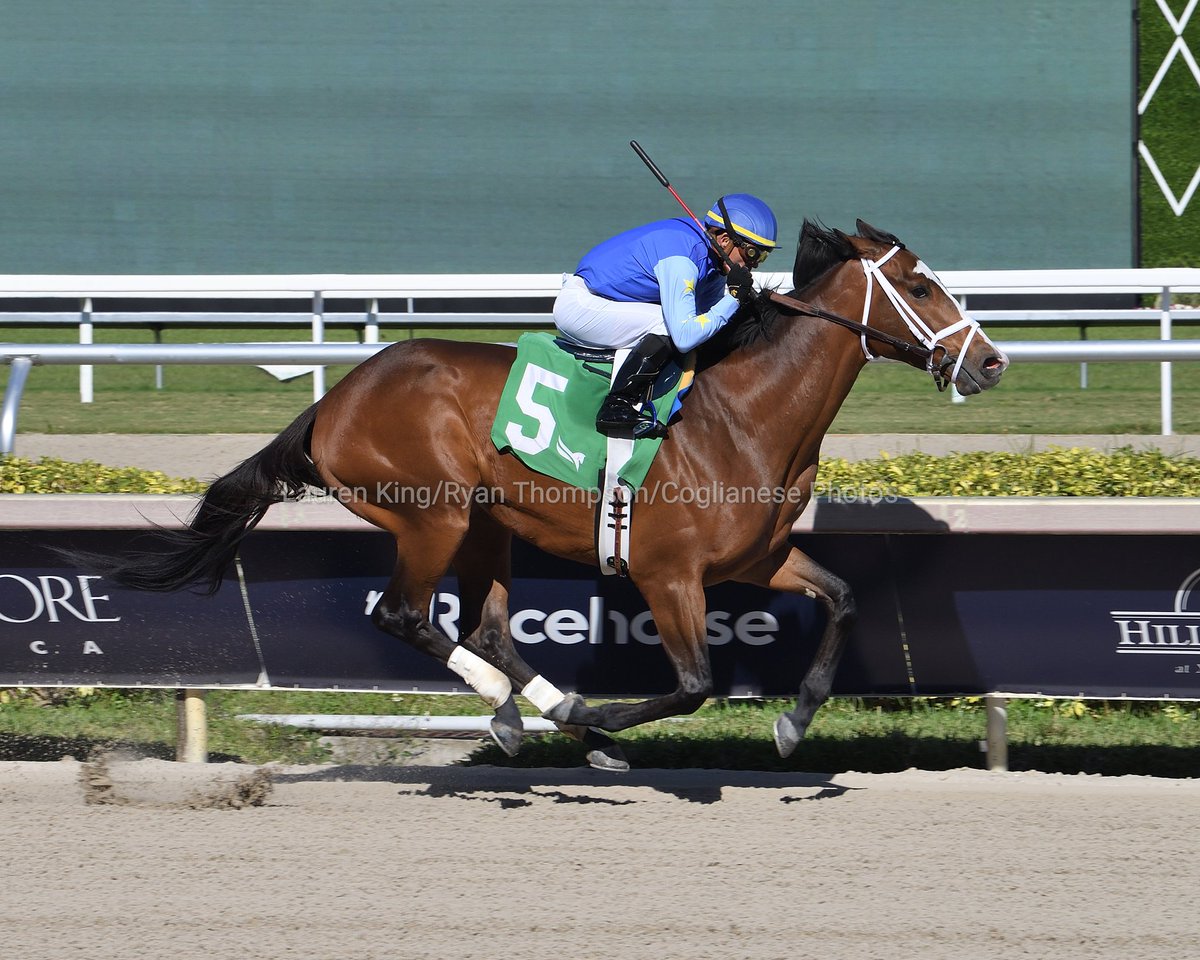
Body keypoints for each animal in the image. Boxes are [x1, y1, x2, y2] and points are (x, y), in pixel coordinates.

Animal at [96, 220, 1012, 768]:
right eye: (921, 286)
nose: (991, 361)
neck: (744, 414)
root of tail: (339, 395)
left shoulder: (757, 559)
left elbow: (846, 597)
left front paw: (792, 722)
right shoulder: (668, 576)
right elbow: (693, 684)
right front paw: (607, 717)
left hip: (487, 525)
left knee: (488, 627)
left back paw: (538, 714)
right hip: (433, 514)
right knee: (404, 615)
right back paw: (538, 712)